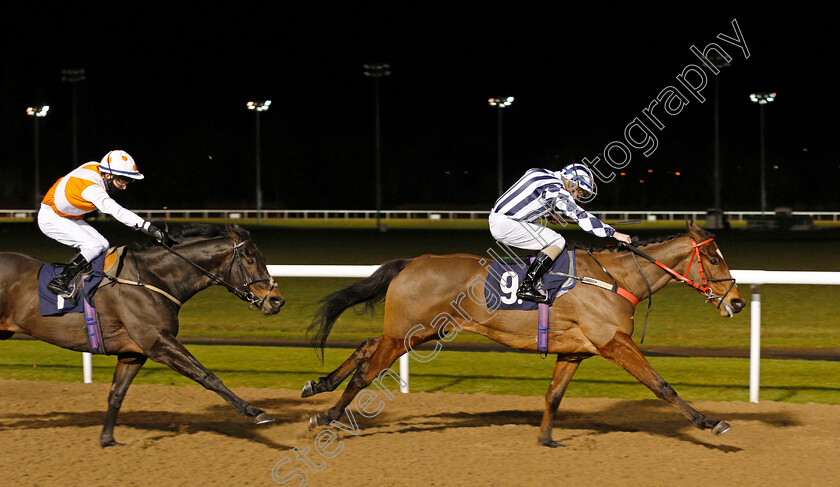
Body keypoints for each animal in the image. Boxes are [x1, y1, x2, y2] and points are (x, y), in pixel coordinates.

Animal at [0, 224, 286, 446]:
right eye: (250, 260)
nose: (277, 301)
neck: (152, 279)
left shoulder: (134, 353)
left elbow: (117, 394)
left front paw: (107, 440)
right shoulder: (157, 342)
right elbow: (207, 376)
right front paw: (255, 411)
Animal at [304, 223, 748, 448]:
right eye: (713, 259)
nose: (738, 302)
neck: (615, 279)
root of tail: (413, 261)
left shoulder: (575, 352)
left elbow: (554, 395)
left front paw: (547, 438)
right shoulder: (614, 342)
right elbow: (661, 385)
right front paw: (711, 423)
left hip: (421, 332)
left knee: (365, 347)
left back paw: (317, 385)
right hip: (406, 334)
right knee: (366, 373)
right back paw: (326, 415)